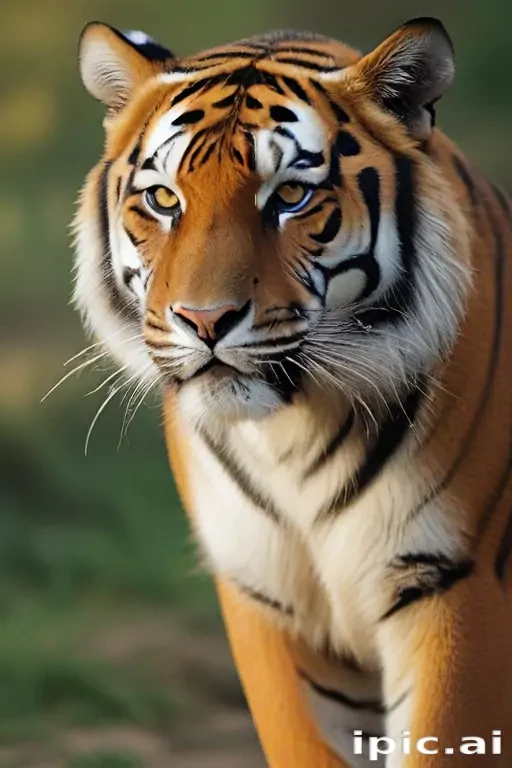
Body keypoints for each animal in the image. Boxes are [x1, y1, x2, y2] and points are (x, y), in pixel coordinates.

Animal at [73, 16, 512, 767]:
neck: (293, 436)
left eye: (289, 197)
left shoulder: (453, 581)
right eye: (163, 199)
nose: (205, 320)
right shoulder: (268, 602)